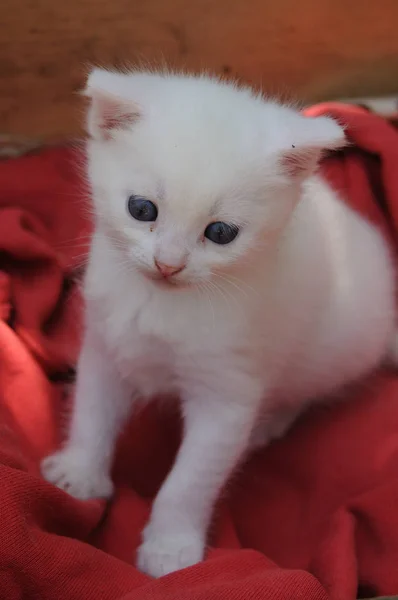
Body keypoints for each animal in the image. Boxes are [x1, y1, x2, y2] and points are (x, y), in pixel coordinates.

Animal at [42, 68, 396, 580]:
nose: (168, 264)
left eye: (221, 233)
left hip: (333, 351)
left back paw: (270, 422)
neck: (164, 304)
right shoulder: (108, 345)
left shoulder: (228, 393)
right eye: (142, 209)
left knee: (305, 389)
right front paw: (80, 473)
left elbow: (191, 479)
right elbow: (92, 413)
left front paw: (170, 546)